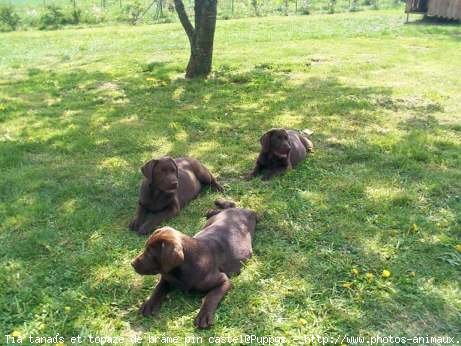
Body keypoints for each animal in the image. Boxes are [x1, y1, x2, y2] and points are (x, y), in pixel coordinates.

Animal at [131, 199, 256, 328]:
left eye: (150, 253)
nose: (132, 263)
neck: (180, 271)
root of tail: (247, 211)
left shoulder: (224, 280)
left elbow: (211, 296)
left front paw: (204, 315)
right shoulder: (166, 277)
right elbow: (158, 288)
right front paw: (149, 303)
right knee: (231, 205)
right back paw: (214, 207)